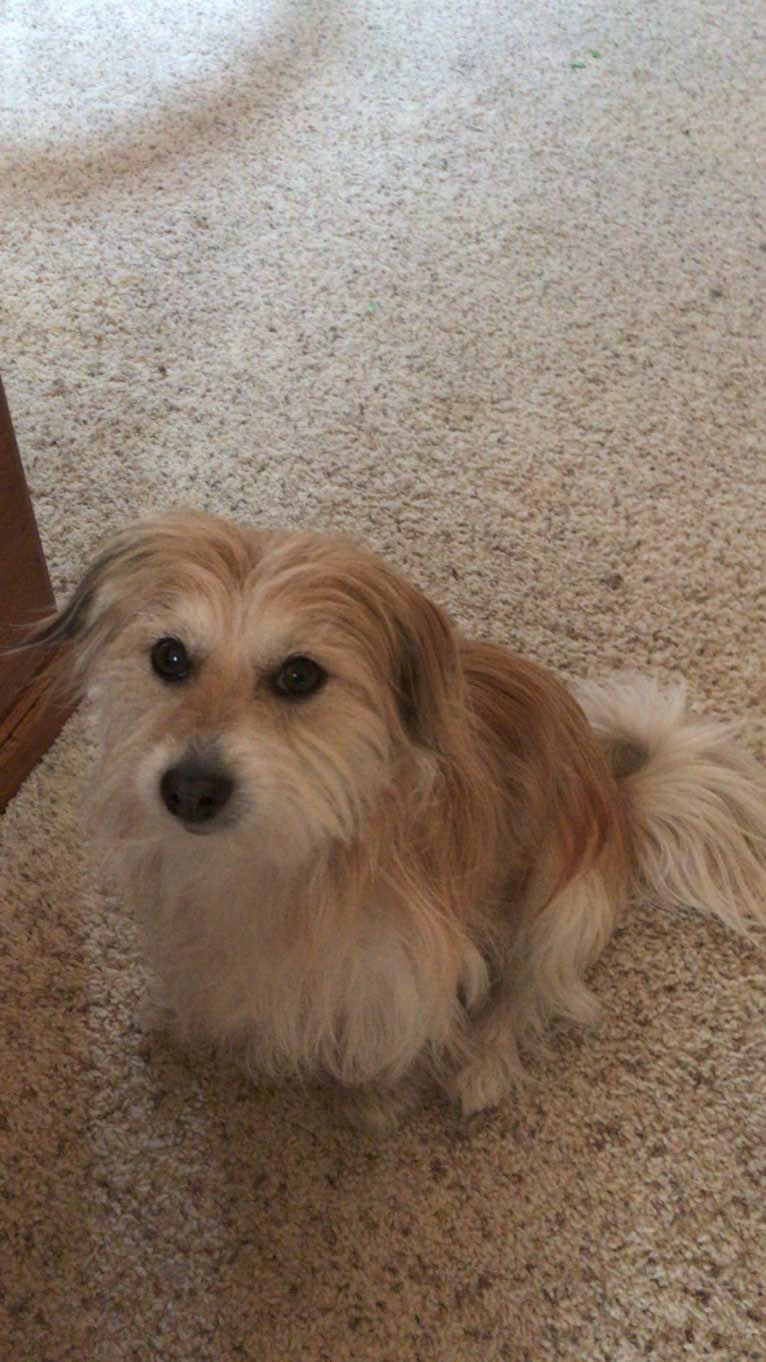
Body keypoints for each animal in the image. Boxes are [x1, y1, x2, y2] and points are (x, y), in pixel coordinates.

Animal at [26, 512, 763, 1127]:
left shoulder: (406, 968)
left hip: (567, 910)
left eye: (299, 675)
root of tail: (617, 790)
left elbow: (394, 1033)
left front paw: (375, 1097)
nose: (191, 790)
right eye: (169, 657)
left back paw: (483, 1066)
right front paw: (180, 1023)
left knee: (532, 991)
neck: (282, 853)